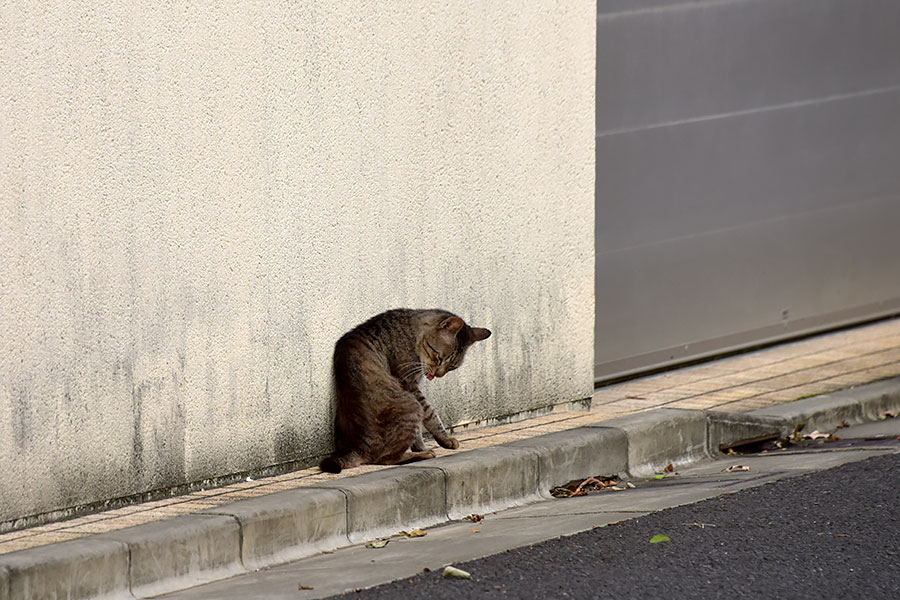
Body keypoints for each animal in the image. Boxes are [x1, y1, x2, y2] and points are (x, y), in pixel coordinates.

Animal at [320, 310, 492, 474]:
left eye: (452, 367)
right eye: (439, 358)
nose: (438, 375)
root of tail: (359, 449)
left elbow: (419, 432)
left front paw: (421, 446)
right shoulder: (409, 384)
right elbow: (430, 413)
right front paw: (444, 439)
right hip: (411, 405)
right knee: (385, 458)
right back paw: (423, 455)